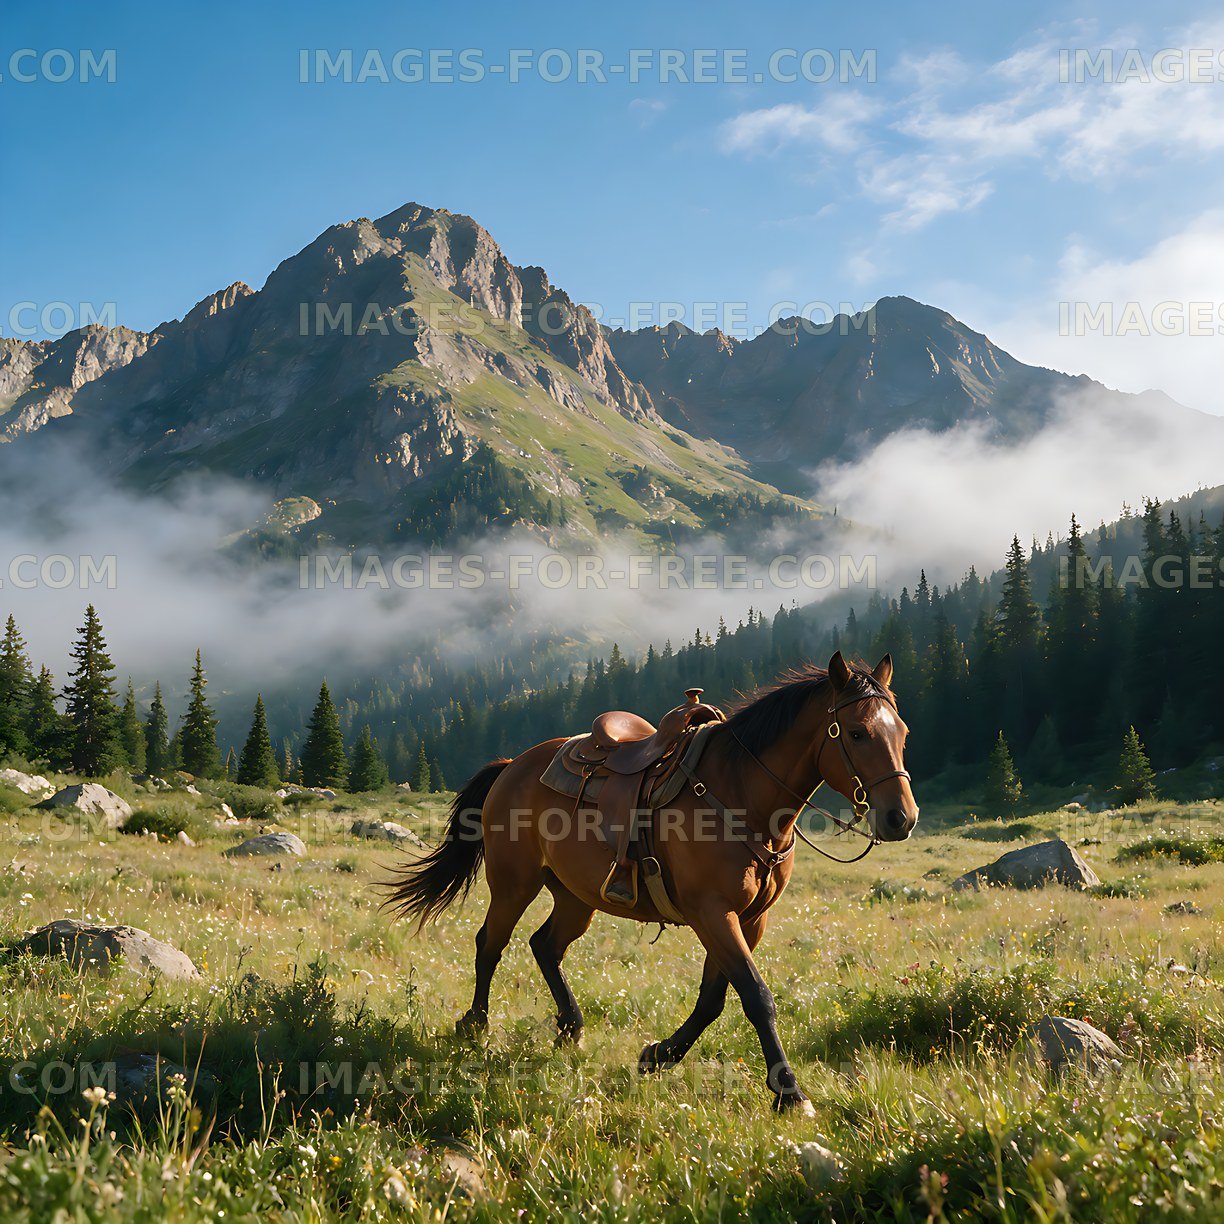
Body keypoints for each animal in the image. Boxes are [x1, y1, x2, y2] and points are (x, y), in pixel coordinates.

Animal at [383, 651, 919, 1114]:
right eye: (856, 733)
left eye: (903, 732)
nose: (901, 818)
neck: (741, 795)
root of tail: (511, 766)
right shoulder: (712, 912)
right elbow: (755, 995)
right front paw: (789, 1093)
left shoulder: (748, 919)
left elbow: (713, 999)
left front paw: (658, 1056)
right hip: (514, 882)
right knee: (490, 942)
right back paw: (475, 1025)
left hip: (576, 896)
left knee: (545, 945)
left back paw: (570, 1027)